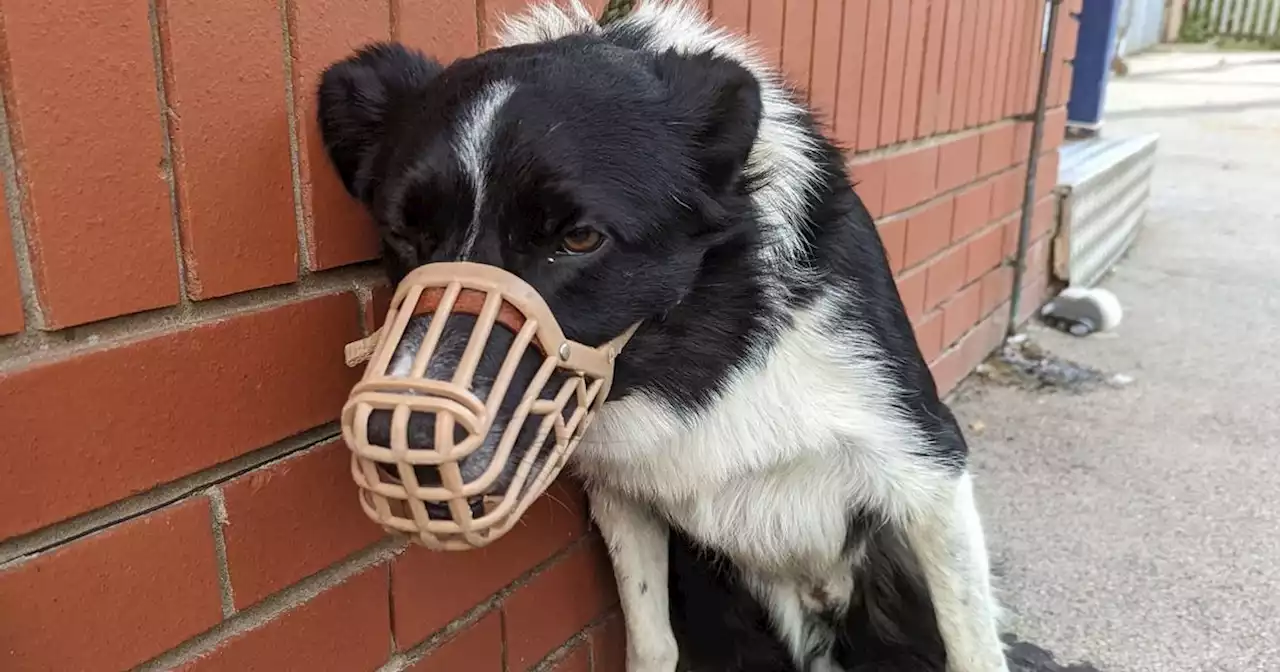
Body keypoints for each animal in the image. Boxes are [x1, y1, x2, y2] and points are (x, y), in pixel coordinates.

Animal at [317, 1, 1008, 670]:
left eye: (579, 238)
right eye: (405, 234)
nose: (396, 444)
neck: (701, 347)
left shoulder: (927, 471)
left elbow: (973, 648)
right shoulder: (625, 501)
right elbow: (652, 642)